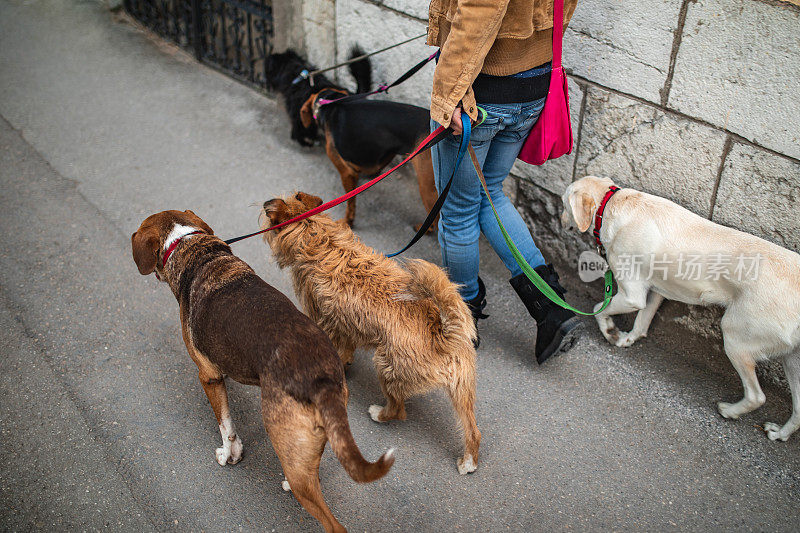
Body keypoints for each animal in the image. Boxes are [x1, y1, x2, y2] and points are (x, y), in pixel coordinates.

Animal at [130, 209, 394, 532]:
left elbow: (226, 427)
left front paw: (230, 455)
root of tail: (319, 378)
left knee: (333, 523)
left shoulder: (209, 377)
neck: (192, 247)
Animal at [260, 192, 482, 474]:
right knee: (472, 430)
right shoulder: (342, 326)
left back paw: (379, 413)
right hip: (463, 390)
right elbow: (345, 349)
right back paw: (468, 461)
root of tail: (440, 332)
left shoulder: (322, 319)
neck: (319, 238)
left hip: (386, 366)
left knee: (398, 409)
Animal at [560, 175, 800, 440]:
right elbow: (641, 323)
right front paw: (627, 339)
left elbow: (600, 308)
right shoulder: (655, 292)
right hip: (791, 361)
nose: (560, 221)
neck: (611, 202)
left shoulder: (632, 296)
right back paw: (780, 434)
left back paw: (729, 411)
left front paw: (610, 331)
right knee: (798, 410)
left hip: (736, 339)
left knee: (757, 396)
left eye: (563, 203)